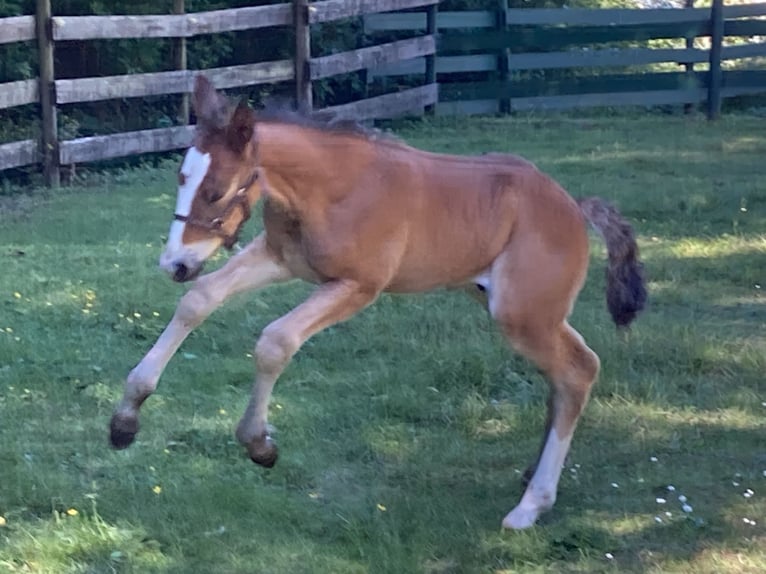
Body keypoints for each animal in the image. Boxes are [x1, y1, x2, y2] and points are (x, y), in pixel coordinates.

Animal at [109, 75, 646, 530]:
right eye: (180, 178)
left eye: (217, 191)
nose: (174, 263)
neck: (331, 188)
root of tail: (574, 207)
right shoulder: (282, 259)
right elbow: (199, 299)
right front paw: (125, 419)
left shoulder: (358, 286)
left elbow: (275, 340)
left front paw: (258, 443)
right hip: (523, 310)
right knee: (571, 370)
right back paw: (531, 480)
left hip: (523, 315)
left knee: (578, 371)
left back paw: (530, 506)